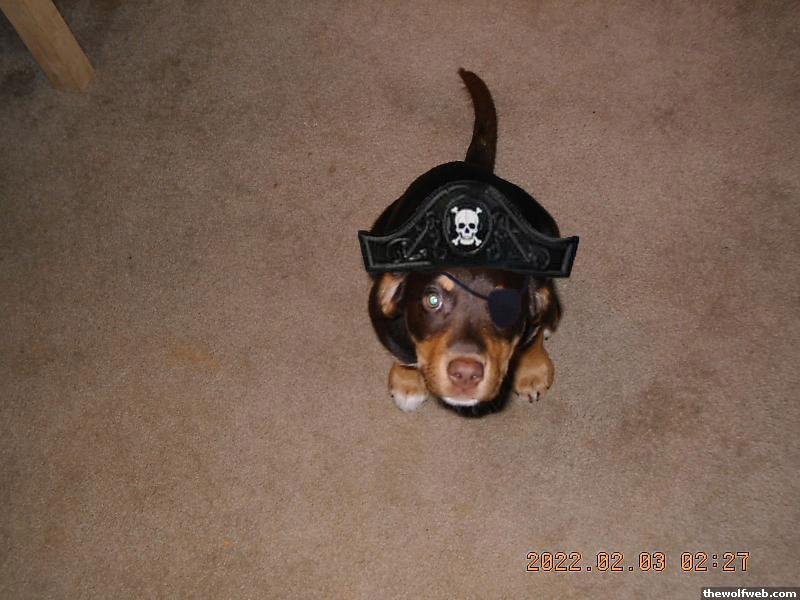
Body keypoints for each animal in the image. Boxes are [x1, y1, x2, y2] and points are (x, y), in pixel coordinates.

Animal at [365, 69, 567, 416]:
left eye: (506, 306)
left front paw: (532, 370)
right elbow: (402, 352)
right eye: (432, 300)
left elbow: (532, 335)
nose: (465, 374)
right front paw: (408, 382)